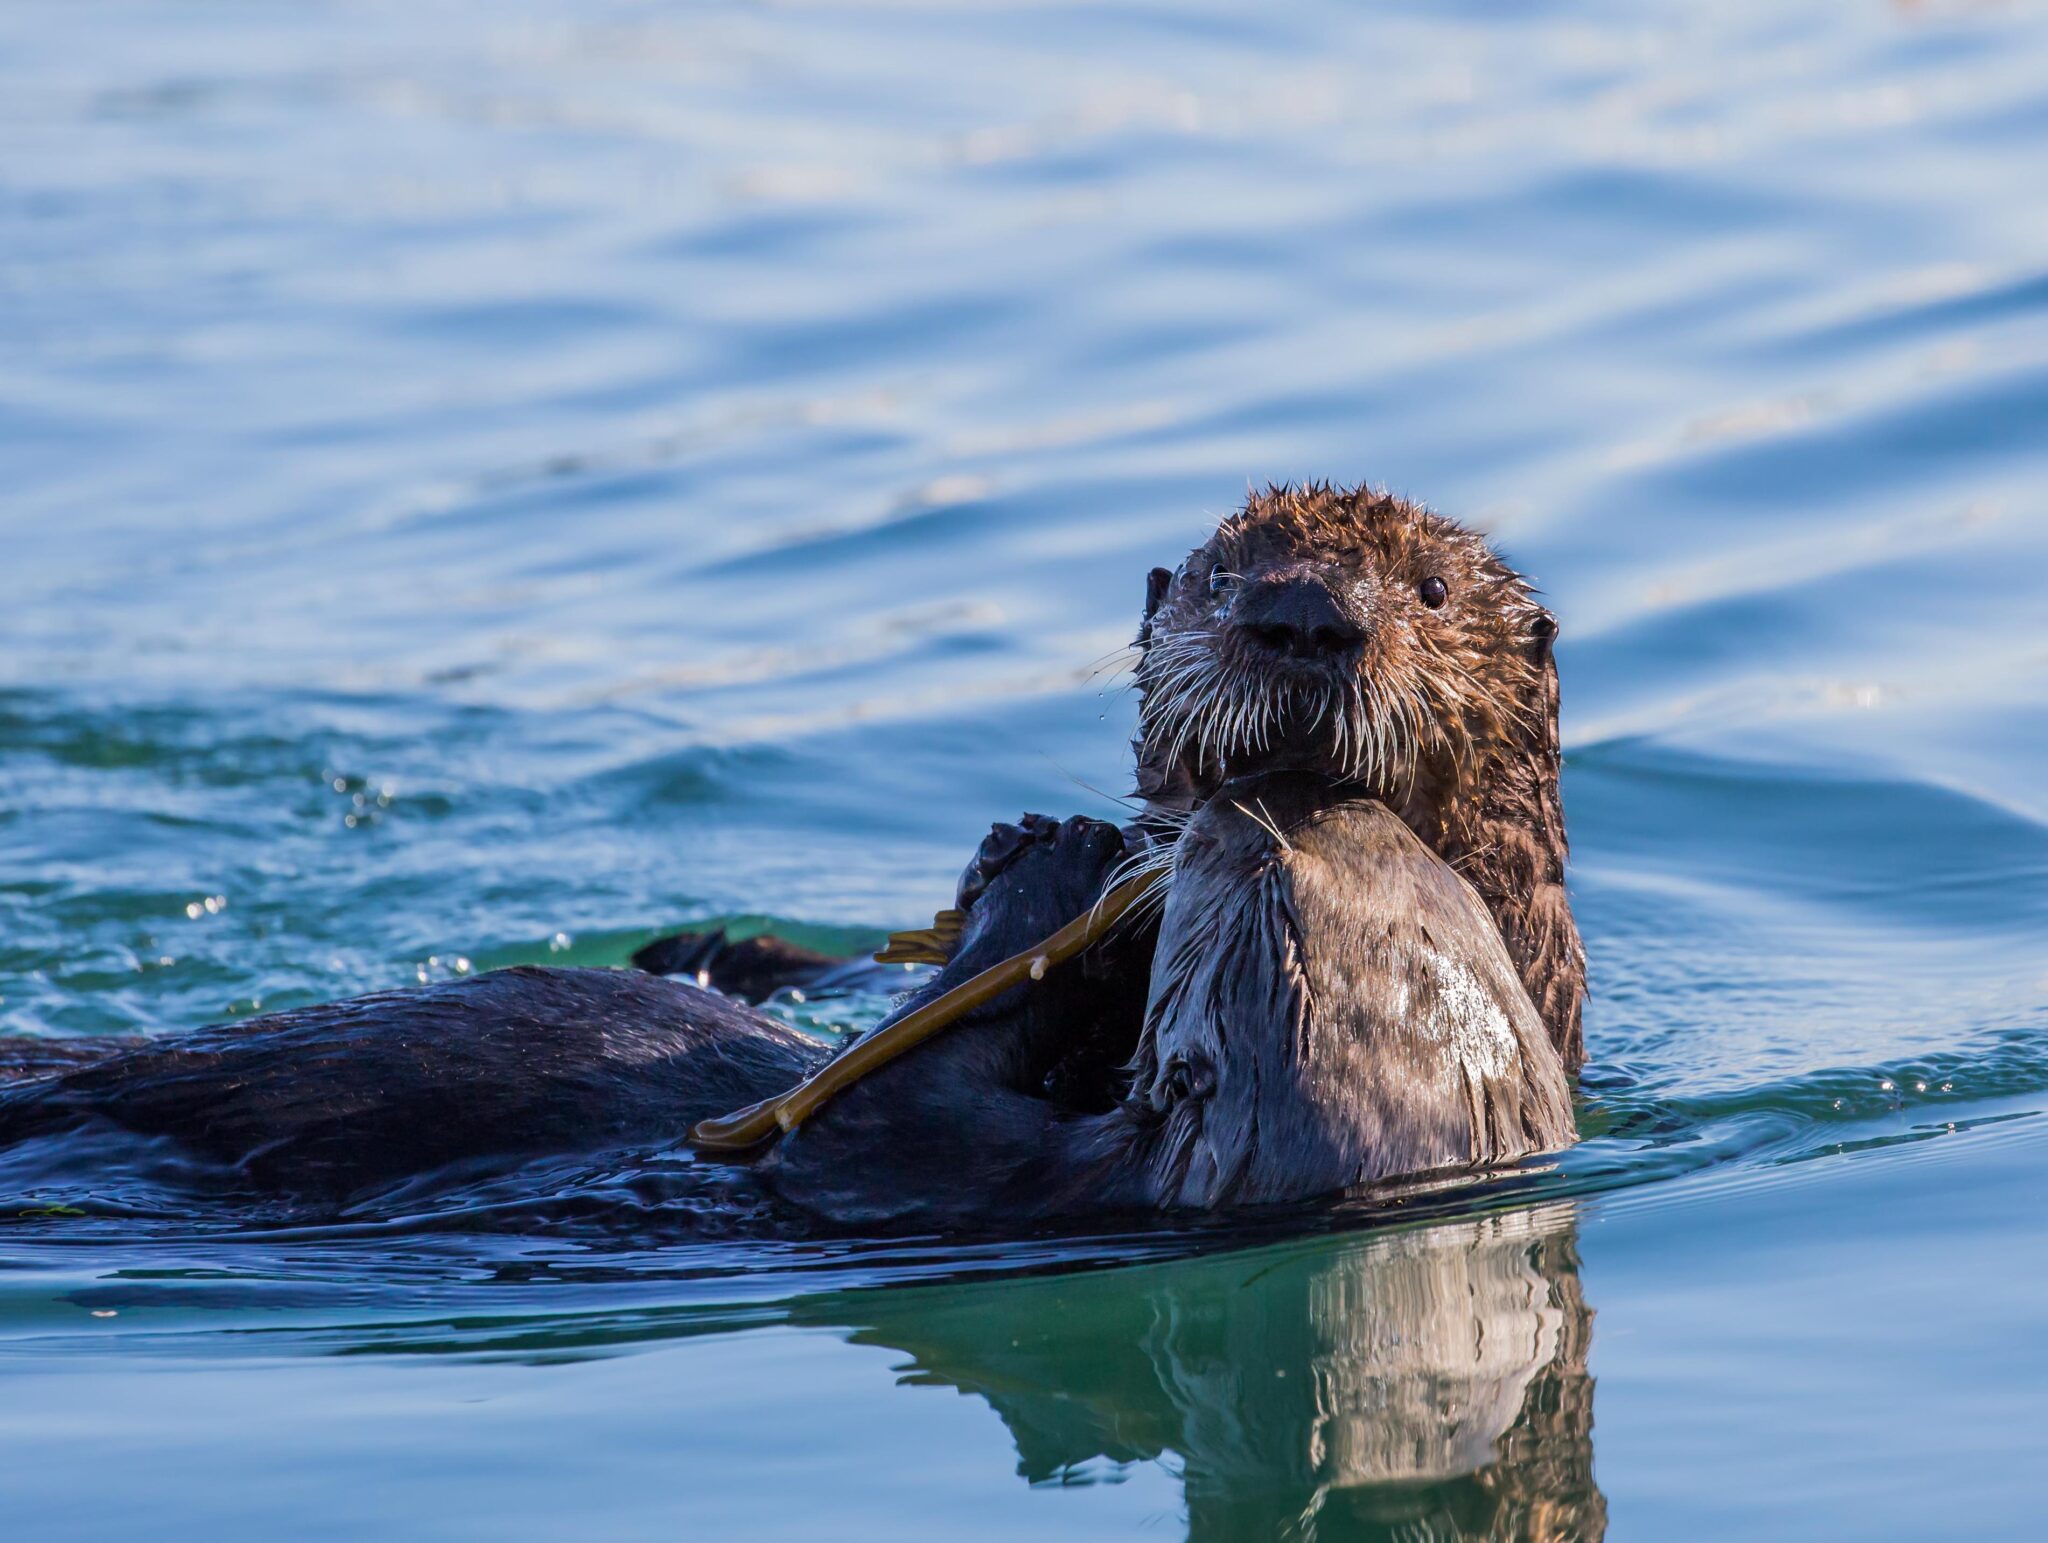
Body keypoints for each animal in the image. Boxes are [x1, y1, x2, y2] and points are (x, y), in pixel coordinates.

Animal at [0, 484, 1582, 1225]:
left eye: (1428, 589)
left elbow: (880, 1103)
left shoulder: (943, 1163)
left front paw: (1054, 868)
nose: (1301, 616)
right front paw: (1036, 850)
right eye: (1216, 576)